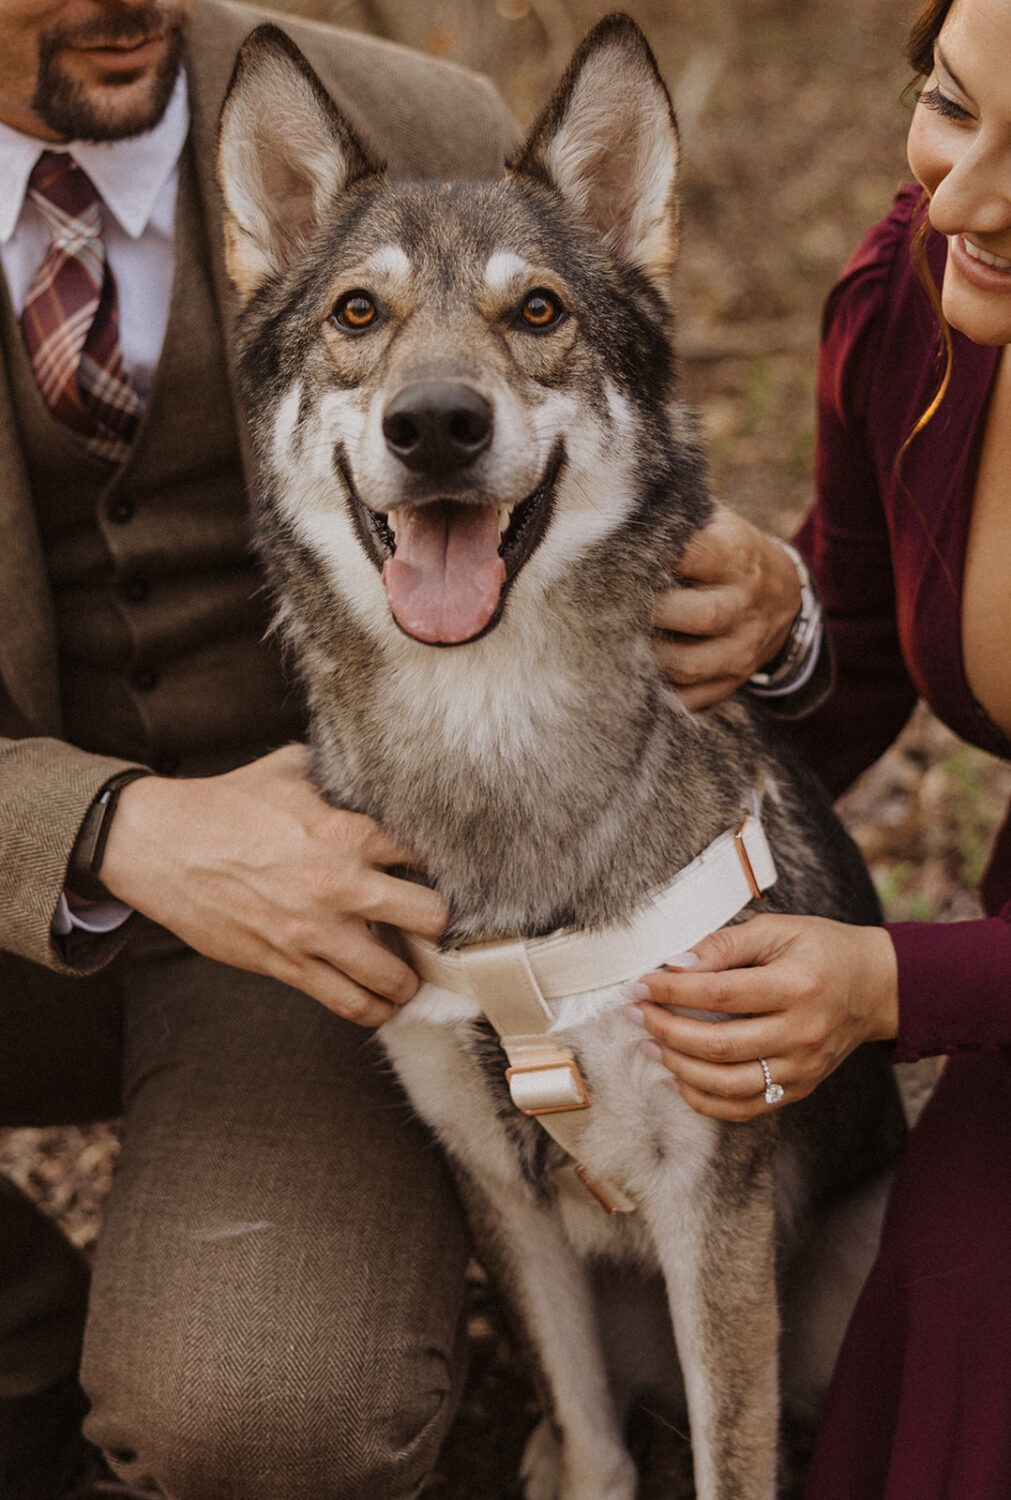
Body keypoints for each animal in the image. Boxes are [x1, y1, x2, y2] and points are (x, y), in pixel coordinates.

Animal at [216, 20, 900, 1500]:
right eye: (357, 316)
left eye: (535, 314)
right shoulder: (501, 1191)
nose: (434, 424)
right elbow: (590, 1434)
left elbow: (730, 1459)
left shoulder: (711, 1208)